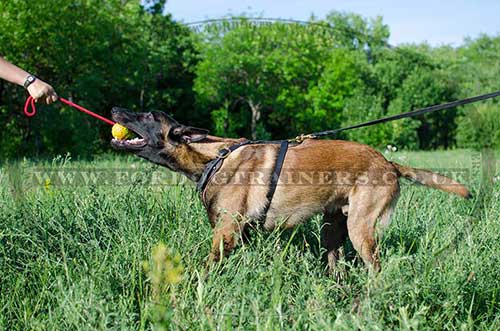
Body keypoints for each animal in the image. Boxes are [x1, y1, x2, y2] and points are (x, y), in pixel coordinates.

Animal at [111, 109, 470, 272]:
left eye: (147, 114)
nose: (114, 110)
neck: (213, 156)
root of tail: (389, 162)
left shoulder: (225, 233)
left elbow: (206, 268)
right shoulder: (240, 234)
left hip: (361, 230)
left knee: (376, 270)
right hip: (332, 229)